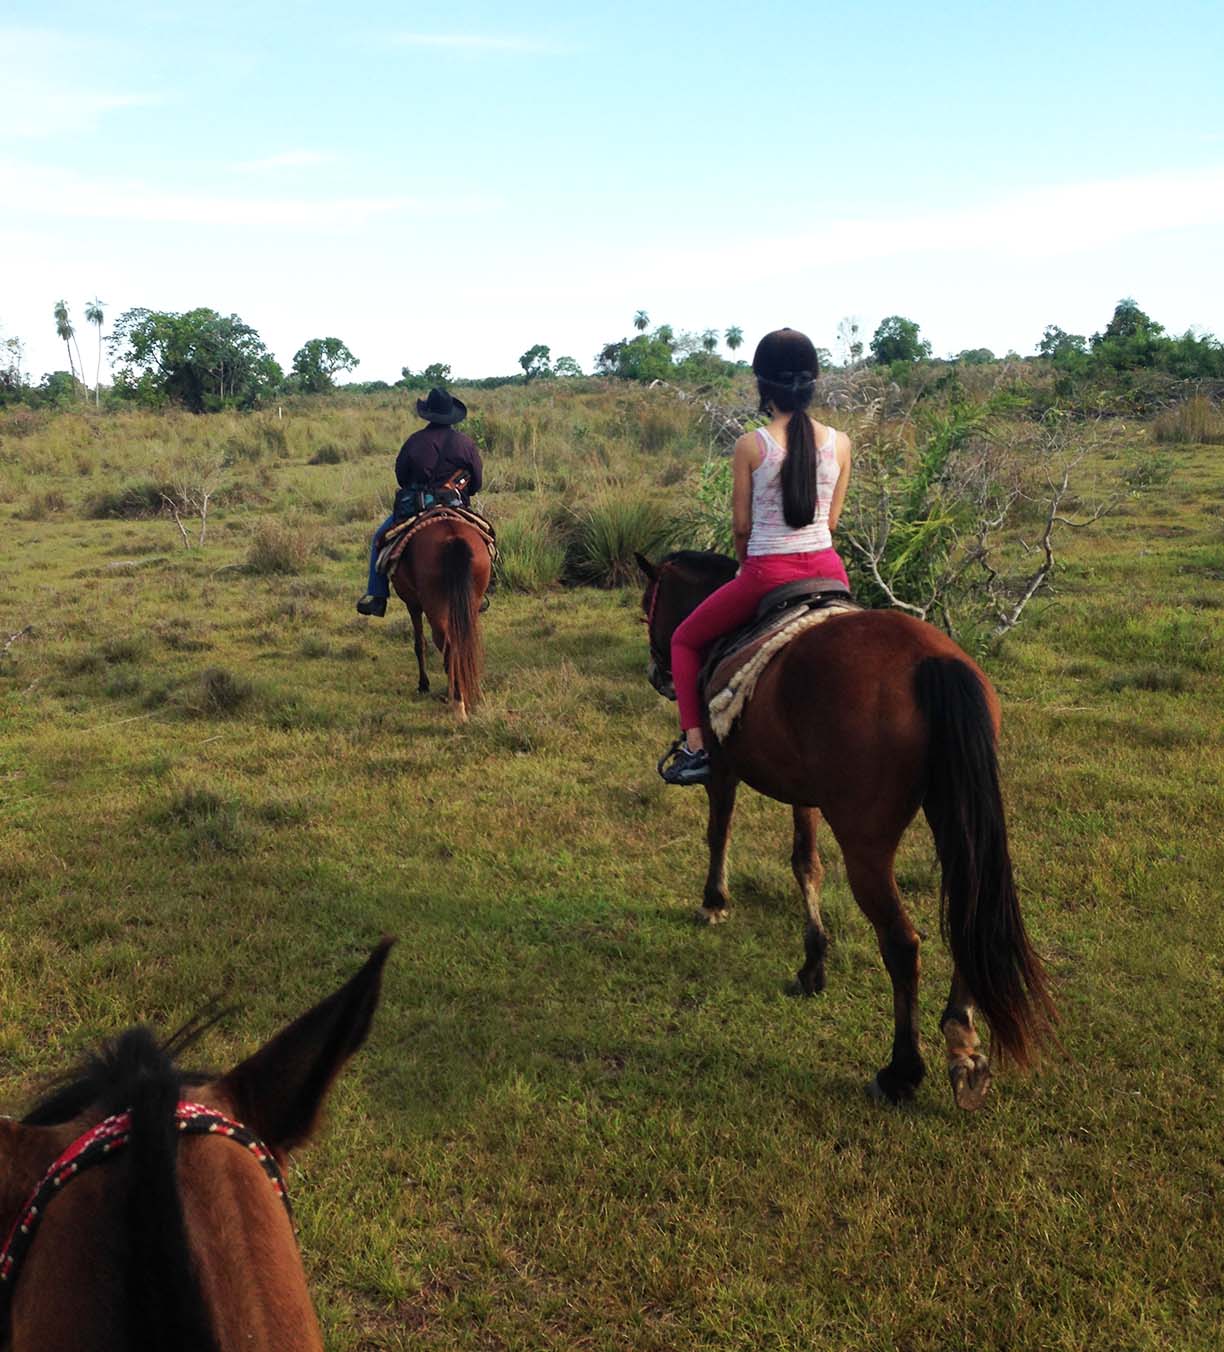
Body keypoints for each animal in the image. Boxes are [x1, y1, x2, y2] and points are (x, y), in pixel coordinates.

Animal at [389, 511, 489, 719]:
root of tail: (453, 537)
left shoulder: (412, 604)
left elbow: (419, 644)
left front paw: (423, 685)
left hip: (434, 607)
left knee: (449, 646)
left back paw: (458, 703)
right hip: (471, 601)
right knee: (466, 645)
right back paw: (471, 693)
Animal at [635, 548, 1054, 1108]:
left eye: (647, 607)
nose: (658, 673)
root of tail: (931, 663)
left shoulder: (722, 767)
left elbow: (718, 831)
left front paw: (714, 902)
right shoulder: (806, 790)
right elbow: (805, 864)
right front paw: (813, 965)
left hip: (866, 844)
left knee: (901, 942)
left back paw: (902, 1072)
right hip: (955, 819)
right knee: (967, 910)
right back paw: (962, 1045)